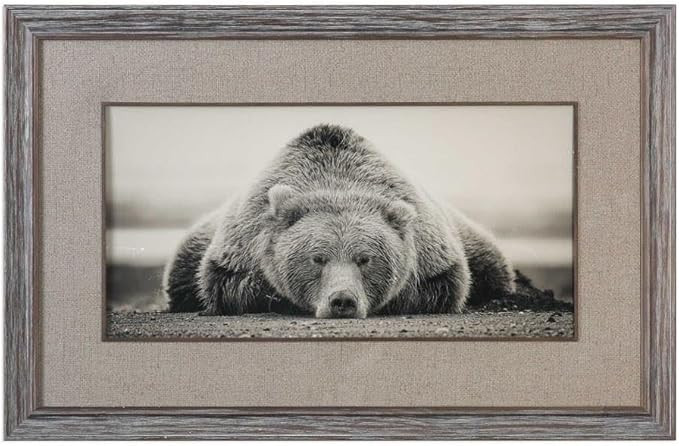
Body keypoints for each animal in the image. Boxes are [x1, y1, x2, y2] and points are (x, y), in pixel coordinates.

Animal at [163, 124, 516, 318]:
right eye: (317, 258)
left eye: (365, 259)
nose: (342, 301)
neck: (336, 180)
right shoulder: (240, 245)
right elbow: (227, 284)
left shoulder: (434, 253)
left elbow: (444, 285)